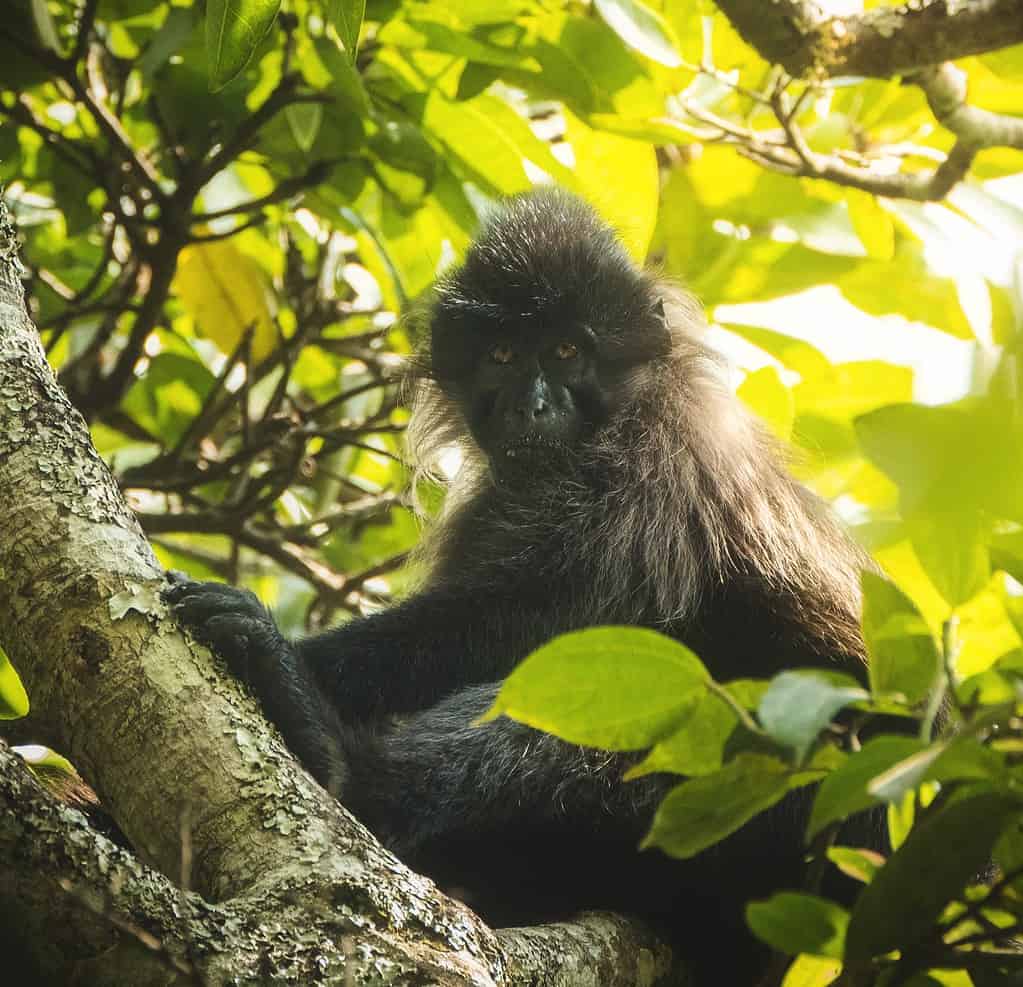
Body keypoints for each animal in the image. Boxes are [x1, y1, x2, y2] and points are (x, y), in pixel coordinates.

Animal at [167, 185, 871, 977]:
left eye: (567, 351)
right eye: (502, 355)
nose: (531, 404)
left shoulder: (652, 463)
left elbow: (533, 623)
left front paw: (290, 654)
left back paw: (337, 758)